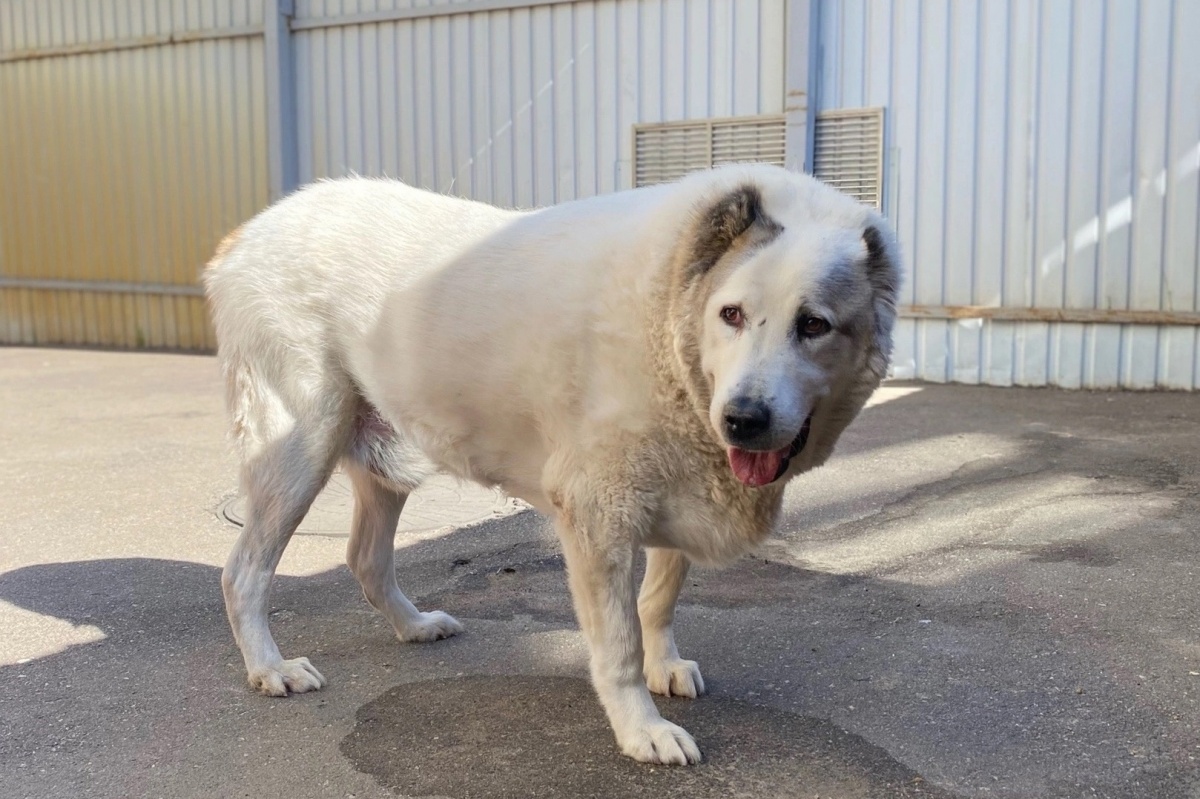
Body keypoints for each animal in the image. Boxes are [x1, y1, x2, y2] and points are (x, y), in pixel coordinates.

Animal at [204, 160, 902, 758]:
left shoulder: (683, 479)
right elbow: (618, 644)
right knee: (244, 572)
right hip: (300, 447)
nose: (743, 419)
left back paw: (413, 626)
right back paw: (270, 667)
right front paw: (641, 730)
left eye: (813, 325)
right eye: (731, 314)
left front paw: (664, 665)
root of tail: (248, 232)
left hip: (382, 462)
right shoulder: (599, 514)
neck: (669, 303)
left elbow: (660, 598)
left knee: (366, 560)